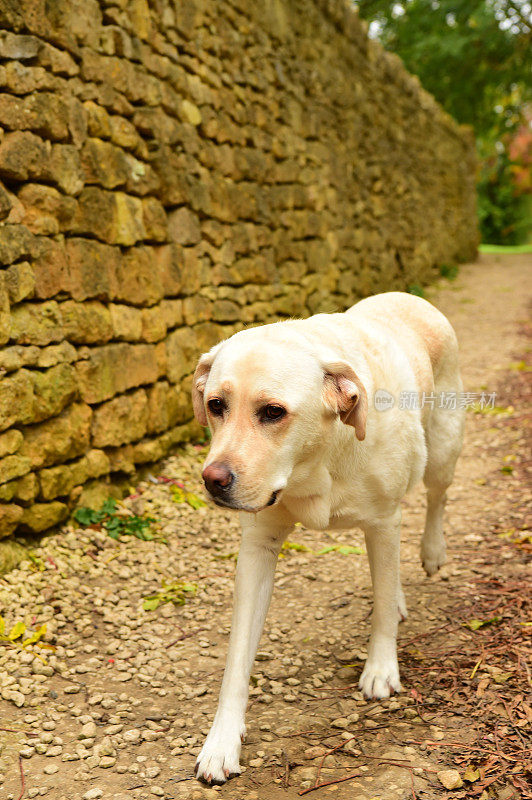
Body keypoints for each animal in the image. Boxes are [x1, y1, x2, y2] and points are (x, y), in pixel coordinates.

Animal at [193, 290, 464, 780]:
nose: (212, 480)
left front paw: (380, 669)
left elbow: (381, 607)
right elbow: (237, 658)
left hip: (442, 451)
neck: (314, 459)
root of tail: (407, 295)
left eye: (273, 412)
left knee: (436, 498)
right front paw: (221, 741)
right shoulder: (258, 547)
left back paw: (432, 552)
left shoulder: (384, 521)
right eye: (216, 404)